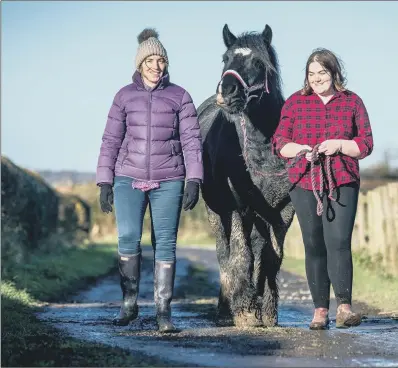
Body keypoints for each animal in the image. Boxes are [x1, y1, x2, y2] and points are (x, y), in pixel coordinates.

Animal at [198, 23, 296, 328]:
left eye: (258, 62)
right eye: (225, 58)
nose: (227, 92)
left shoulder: (283, 211)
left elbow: (271, 256)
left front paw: (268, 310)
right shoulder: (236, 206)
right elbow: (241, 254)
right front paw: (245, 310)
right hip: (217, 211)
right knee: (225, 253)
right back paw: (225, 308)